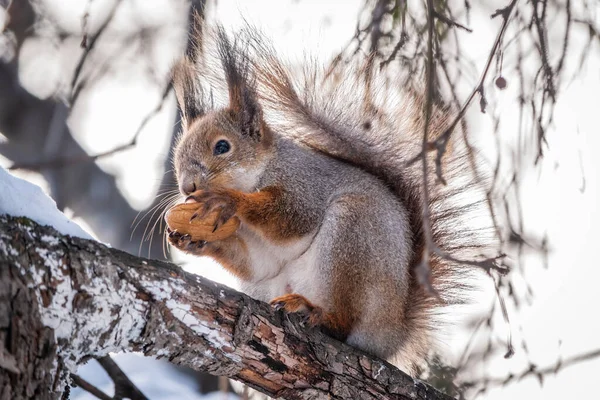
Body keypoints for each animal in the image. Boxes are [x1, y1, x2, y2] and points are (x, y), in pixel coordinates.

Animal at [165, 26, 488, 374]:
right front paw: (191, 241)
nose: (187, 187)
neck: (261, 171)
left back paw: (313, 312)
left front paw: (227, 200)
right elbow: (256, 263)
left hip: (351, 237)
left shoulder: (306, 186)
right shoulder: (258, 253)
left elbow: (290, 218)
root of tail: (394, 334)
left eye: (222, 147)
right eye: (178, 153)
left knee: (343, 323)